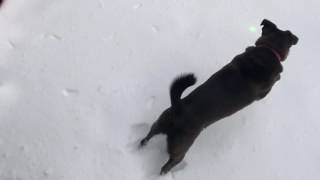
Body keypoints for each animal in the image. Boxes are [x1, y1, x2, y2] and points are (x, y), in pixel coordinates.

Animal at [139, 19, 298, 174]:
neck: (269, 50)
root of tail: (179, 110)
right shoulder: (265, 91)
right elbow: (275, 81)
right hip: (181, 147)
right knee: (169, 165)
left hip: (160, 123)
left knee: (148, 136)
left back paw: (141, 145)